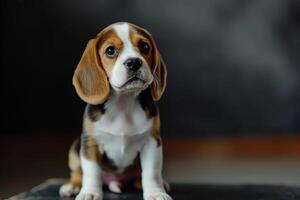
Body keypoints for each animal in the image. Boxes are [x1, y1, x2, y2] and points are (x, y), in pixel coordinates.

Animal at [59, 21, 171, 200]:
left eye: (144, 46)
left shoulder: (152, 142)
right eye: (110, 51)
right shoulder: (91, 143)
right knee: (77, 172)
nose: (134, 62)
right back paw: (72, 185)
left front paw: (156, 193)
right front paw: (90, 192)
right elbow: (91, 172)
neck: (122, 102)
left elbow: (151, 172)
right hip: (76, 147)